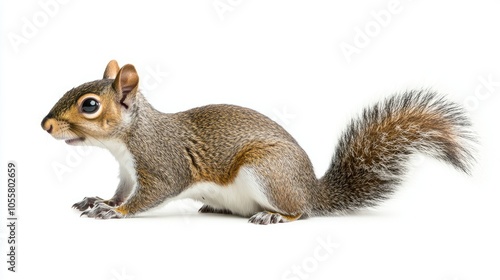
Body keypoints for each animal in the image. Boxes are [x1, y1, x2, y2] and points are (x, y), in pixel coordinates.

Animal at [41, 60, 474, 224]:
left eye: (90, 105)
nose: (45, 125)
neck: (128, 139)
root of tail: (311, 190)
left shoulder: (162, 165)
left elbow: (152, 195)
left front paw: (116, 212)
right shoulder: (128, 172)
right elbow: (120, 190)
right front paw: (98, 200)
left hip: (267, 171)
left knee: (301, 213)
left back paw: (275, 216)